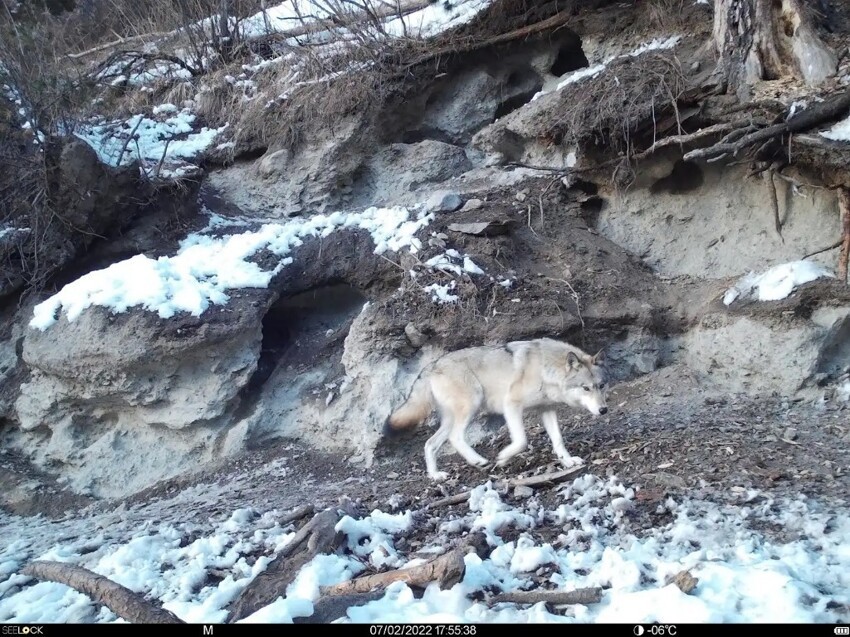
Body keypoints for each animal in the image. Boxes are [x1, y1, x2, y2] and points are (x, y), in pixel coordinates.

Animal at [384, 338, 608, 476]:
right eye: (585, 388)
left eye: (601, 386)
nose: (603, 410)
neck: (546, 370)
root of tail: (432, 365)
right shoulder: (511, 405)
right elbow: (522, 441)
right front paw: (503, 458)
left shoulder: (547, 409)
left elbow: (558, 440)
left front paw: (568, 462)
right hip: (471, 406)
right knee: (455, 438)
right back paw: (479, 461)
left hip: (452, 418)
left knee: (430, 443)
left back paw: (436, 476)